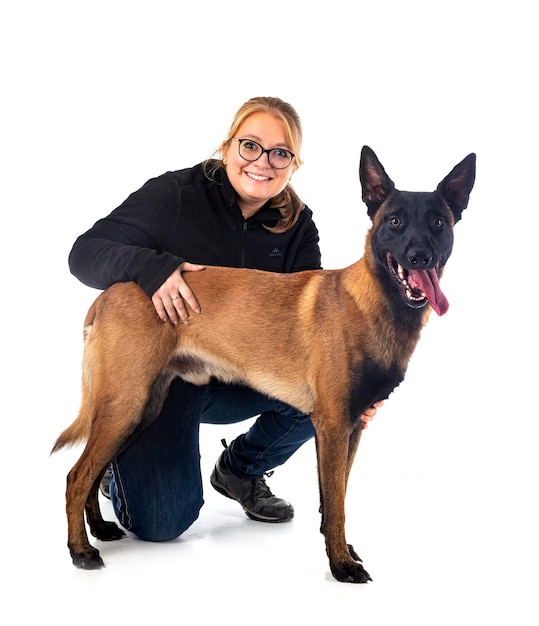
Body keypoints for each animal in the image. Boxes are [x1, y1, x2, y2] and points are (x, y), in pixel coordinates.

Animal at [52, 145, 476, 580]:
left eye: (438, 223)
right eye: (395, 222)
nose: (420, 257)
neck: (375, 302)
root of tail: (108, 293)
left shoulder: (353, 426)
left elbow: (336, 496)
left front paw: (342, 551)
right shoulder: (333, 426)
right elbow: (336, 505)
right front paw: (341, 564)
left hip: (139, 410)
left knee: (94, 471)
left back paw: (100, 528)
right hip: (126, 406)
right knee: (76, 476)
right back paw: (80, 550)